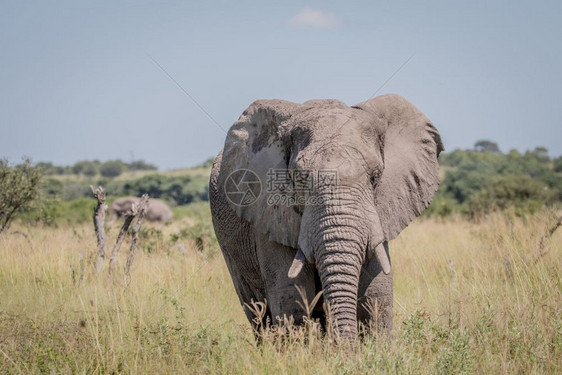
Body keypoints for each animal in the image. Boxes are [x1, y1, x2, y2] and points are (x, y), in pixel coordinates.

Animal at [210, 93, 442, 340]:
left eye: (375, 177)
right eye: (300, 178)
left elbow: (377, 293)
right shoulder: (268, 214)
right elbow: (291, 294)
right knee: (257, 311)